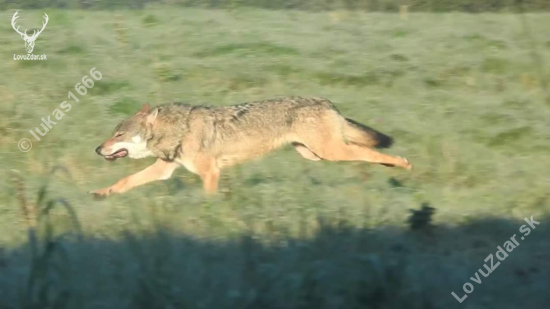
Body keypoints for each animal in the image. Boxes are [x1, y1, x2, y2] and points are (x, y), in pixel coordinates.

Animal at [92, 97, 414, 197]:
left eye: (118, 134)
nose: (97, 149)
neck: (178, 129)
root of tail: (328, 103)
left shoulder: (210, 173)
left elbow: (209, 198)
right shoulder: (164, 170)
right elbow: (126, 180)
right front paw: (101, 193)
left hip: (330, 153)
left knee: (372, 152)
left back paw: (403, 164)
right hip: (315, 154)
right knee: (371, 153)